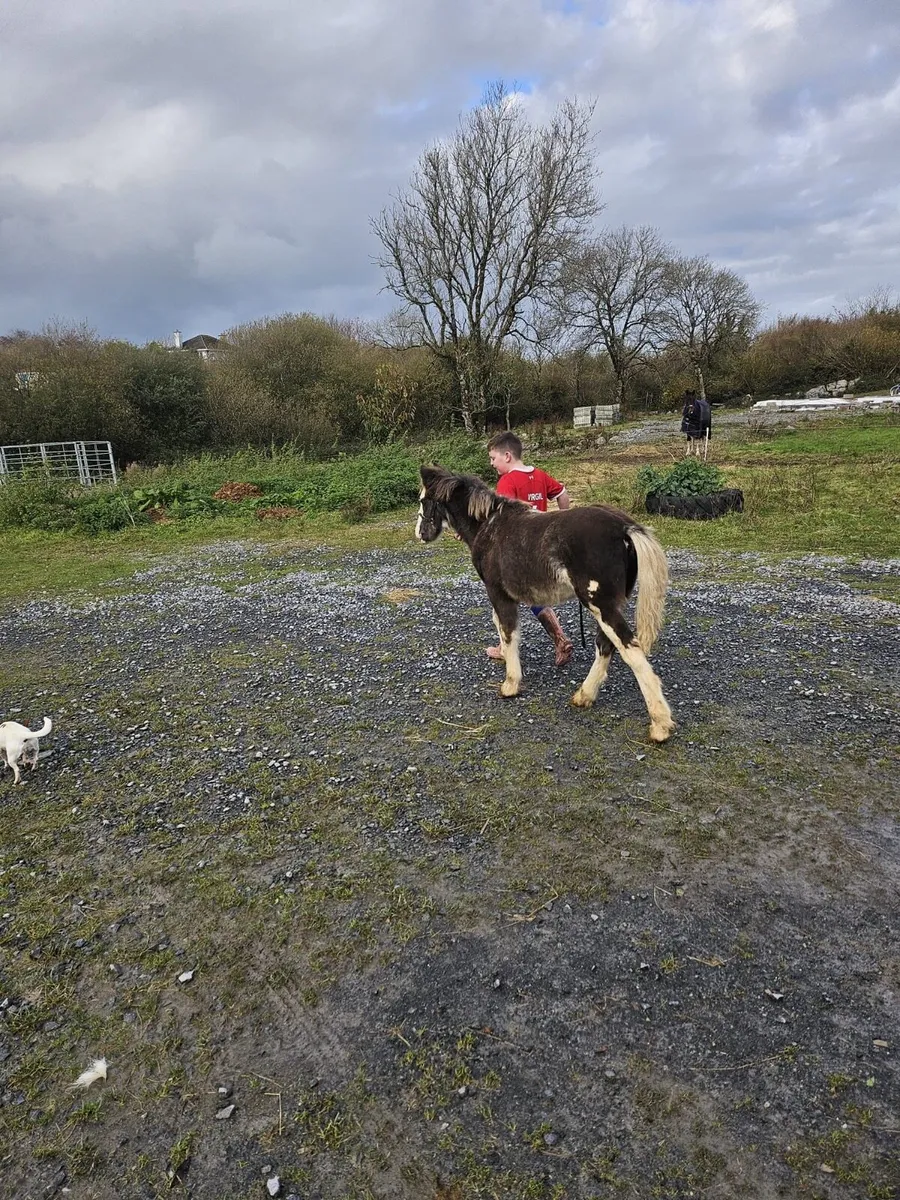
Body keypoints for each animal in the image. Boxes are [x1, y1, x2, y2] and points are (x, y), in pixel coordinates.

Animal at [415, 465, 675, 743]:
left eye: (423, 500)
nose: (420, 533)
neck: (489, 526)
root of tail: (624, 527)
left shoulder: (498, 593)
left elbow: (507, 632)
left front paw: (510, 685)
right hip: (608, 606)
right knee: (606, 646)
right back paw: (584, 696)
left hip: (601, 605)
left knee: (630, 650)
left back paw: (660, 725)